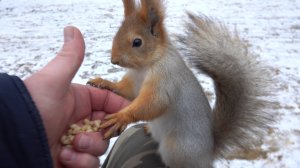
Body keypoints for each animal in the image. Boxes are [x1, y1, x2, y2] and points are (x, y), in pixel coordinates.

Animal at [86, 0, 272, 167]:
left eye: (137, 42)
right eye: (117, 32)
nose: (114, 60)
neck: (145, 68)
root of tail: (209, 152)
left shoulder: (165, 80)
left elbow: (153, 103)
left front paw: (121, 116)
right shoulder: (134, 81)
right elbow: (126, 90)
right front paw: (103, 83)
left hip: (176, 149)